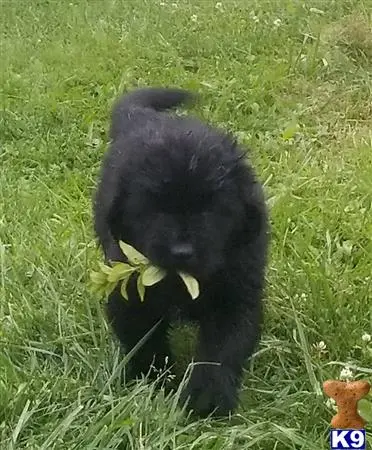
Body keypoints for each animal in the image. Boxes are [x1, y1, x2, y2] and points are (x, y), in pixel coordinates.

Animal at [92, 86, 268, 416]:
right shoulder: (130, 296)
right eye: (153, 208)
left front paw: (206, 398)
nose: (182, 251)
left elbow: (221, 349)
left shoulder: (236, 295)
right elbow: (144, 342)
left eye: (211, 208)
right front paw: (152, 384)